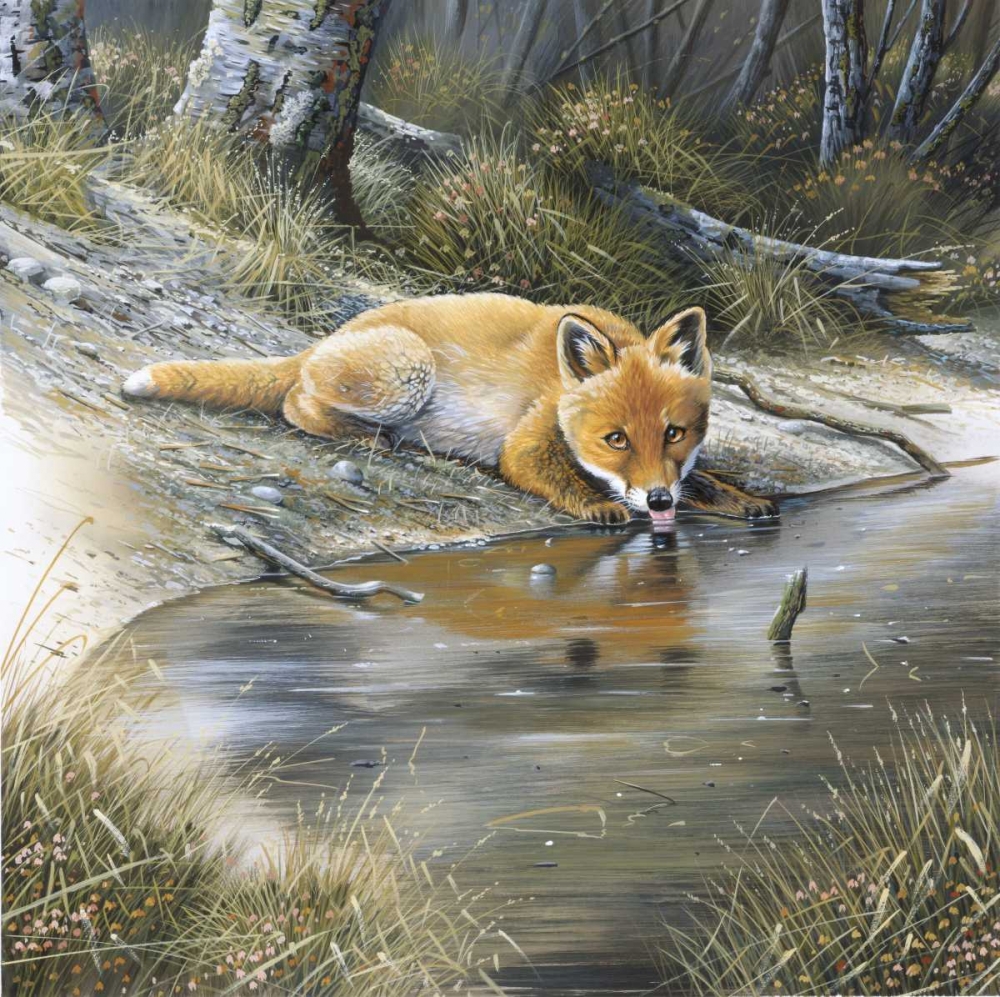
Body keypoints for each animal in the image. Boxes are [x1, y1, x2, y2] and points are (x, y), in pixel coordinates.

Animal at [122, 293, 777, 524]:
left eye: (674, 434)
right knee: (293, 403)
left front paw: (742, 500)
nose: (660, 503)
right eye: (615, 439)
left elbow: (707, 482)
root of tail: (324, 338)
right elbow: (548, 473)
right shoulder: (524, 441)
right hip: (409, 372)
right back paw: (373, 440)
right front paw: (598, 506)